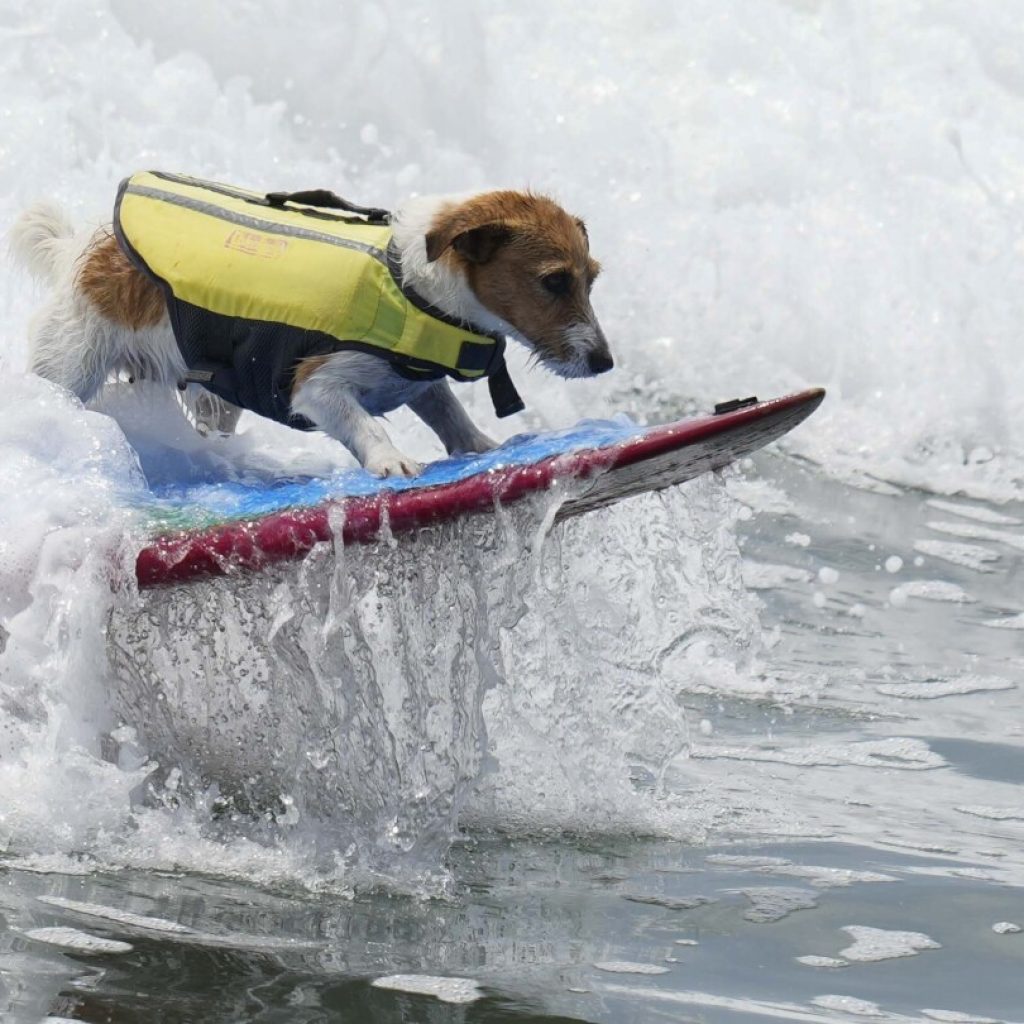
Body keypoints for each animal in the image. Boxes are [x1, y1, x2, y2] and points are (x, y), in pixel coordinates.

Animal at [12, 178, 610, 477]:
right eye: (555, 281)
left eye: (592, 279)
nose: (604, 362)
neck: (411, 286)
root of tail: (84, 253)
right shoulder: (316, 387)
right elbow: (366, 424)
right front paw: (390, 459)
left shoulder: (419, 381)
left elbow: (448, 412)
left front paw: (481, 445)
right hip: (69, 367)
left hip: (212, 399)